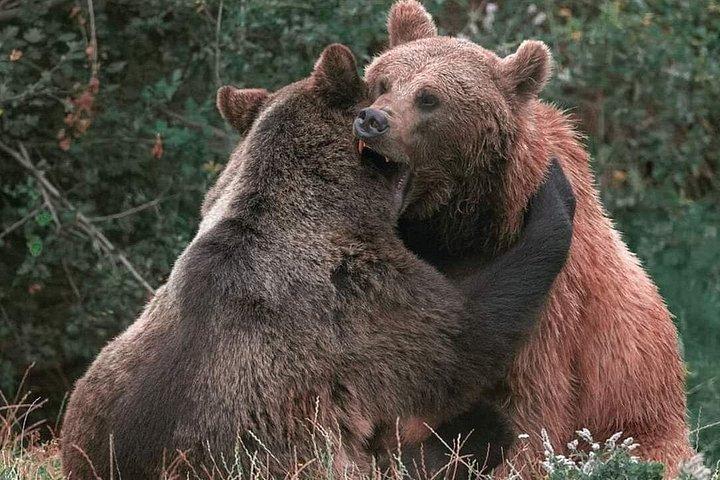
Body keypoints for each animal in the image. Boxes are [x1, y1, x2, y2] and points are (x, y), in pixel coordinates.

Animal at [354, 1, 695, 477]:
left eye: (429, 97)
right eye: (382, 81)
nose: (373, 120)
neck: (458, 227)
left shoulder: (551, 306)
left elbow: (532, 409)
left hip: (647, 417)